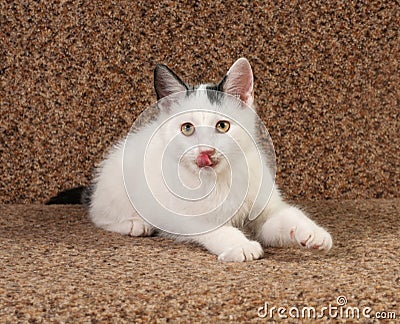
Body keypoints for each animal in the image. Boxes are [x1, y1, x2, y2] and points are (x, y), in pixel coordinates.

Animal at [83, 57, 332, 260]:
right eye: (187, 128)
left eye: (222, 126)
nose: (206, 151)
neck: (220, 180)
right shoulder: (187, 219)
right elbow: (218, 229)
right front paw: (241, 246)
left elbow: (284, 216)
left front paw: (313, 232)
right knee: (98, 214)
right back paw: (133, 224)